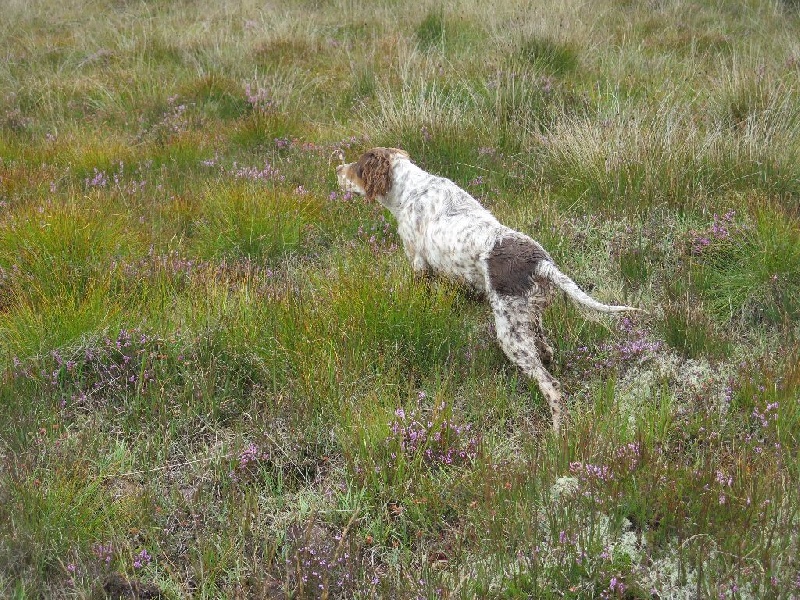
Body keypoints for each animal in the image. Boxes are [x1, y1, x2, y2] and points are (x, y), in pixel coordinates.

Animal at [332, 149, 636, 432]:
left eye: (358, 167)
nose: (337, 169)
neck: (410, 189)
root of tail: (541, 262)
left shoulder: (419, 265)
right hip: (528, 316)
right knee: (546, 349)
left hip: (510, 334)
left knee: (552, 386)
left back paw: (558, 431)